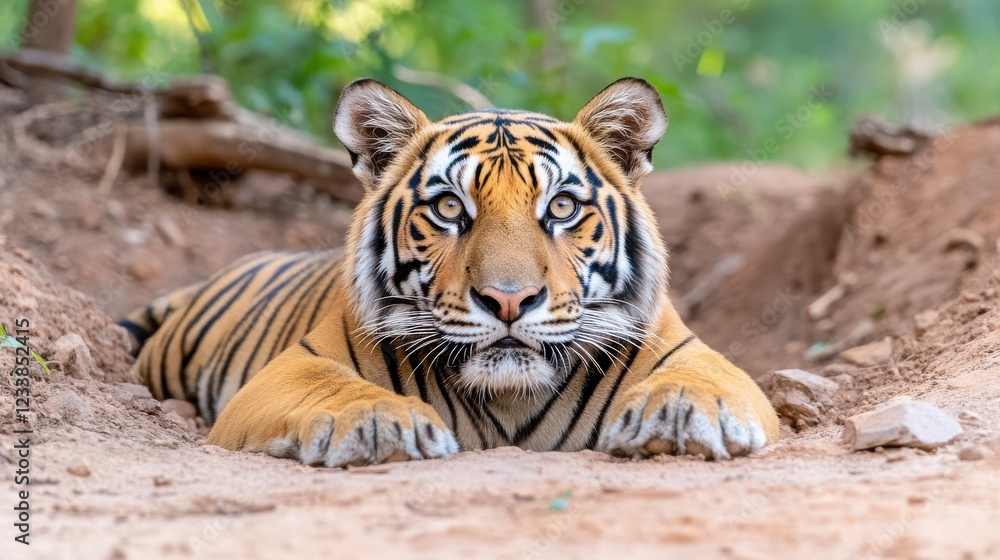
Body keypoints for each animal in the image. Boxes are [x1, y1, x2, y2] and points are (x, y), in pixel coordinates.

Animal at [121, 77, 778, 467]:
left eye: (562, 207)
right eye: (449, 208)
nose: (509, 300)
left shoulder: (692, 351)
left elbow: (699, 379)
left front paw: (682, 413)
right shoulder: (289, 369)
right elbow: (335, 387)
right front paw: (380, 423)